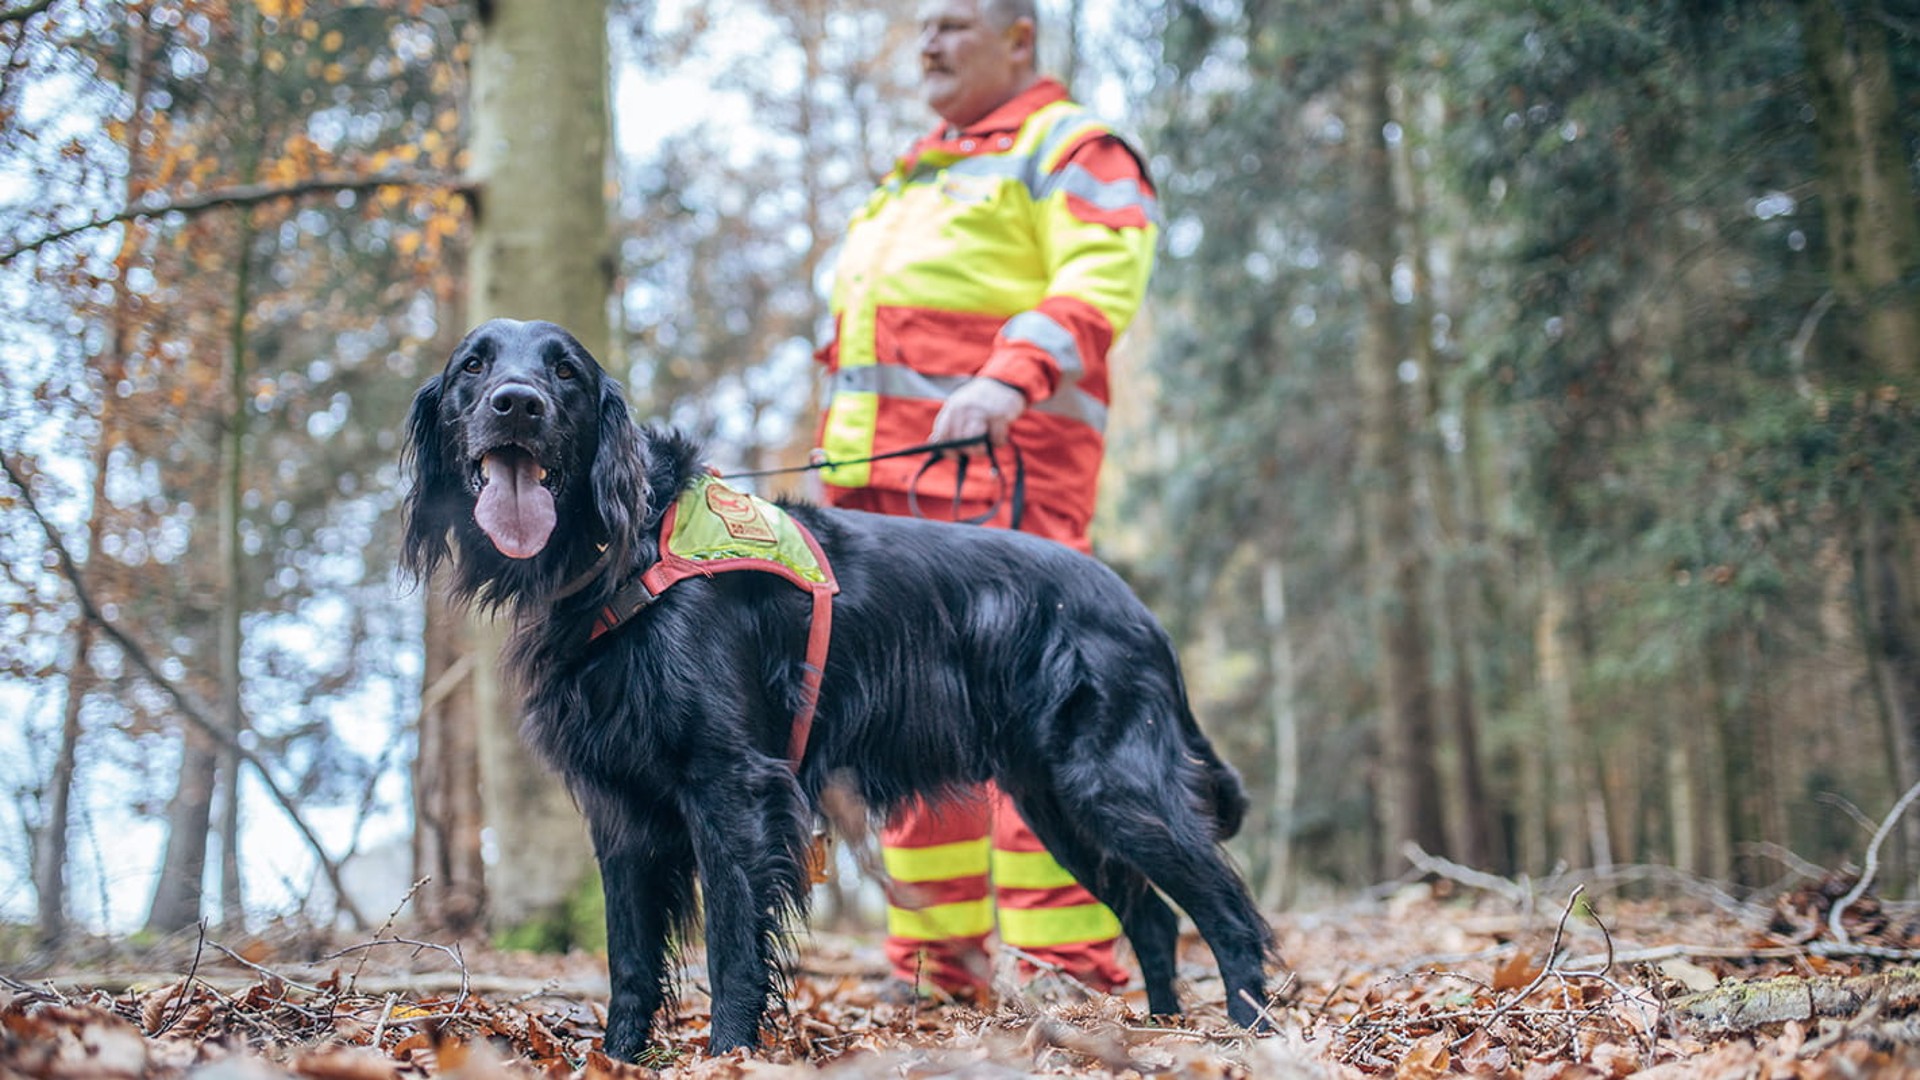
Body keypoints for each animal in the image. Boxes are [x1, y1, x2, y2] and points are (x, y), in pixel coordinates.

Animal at [403, 317, 1274, 1053]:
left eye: (567, 371)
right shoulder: (620, 809)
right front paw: (618, 1059)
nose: (518, 404)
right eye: (473, 365)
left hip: (1112, 784)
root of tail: (1137, 607)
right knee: (1152, 918)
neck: (630, 548)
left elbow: (731, 947)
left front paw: (730, 1055)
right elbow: (629, 960)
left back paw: (1250, 1033)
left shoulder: (731, 786)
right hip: (1056, 802)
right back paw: (1158, 1030)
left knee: (1227, 913)